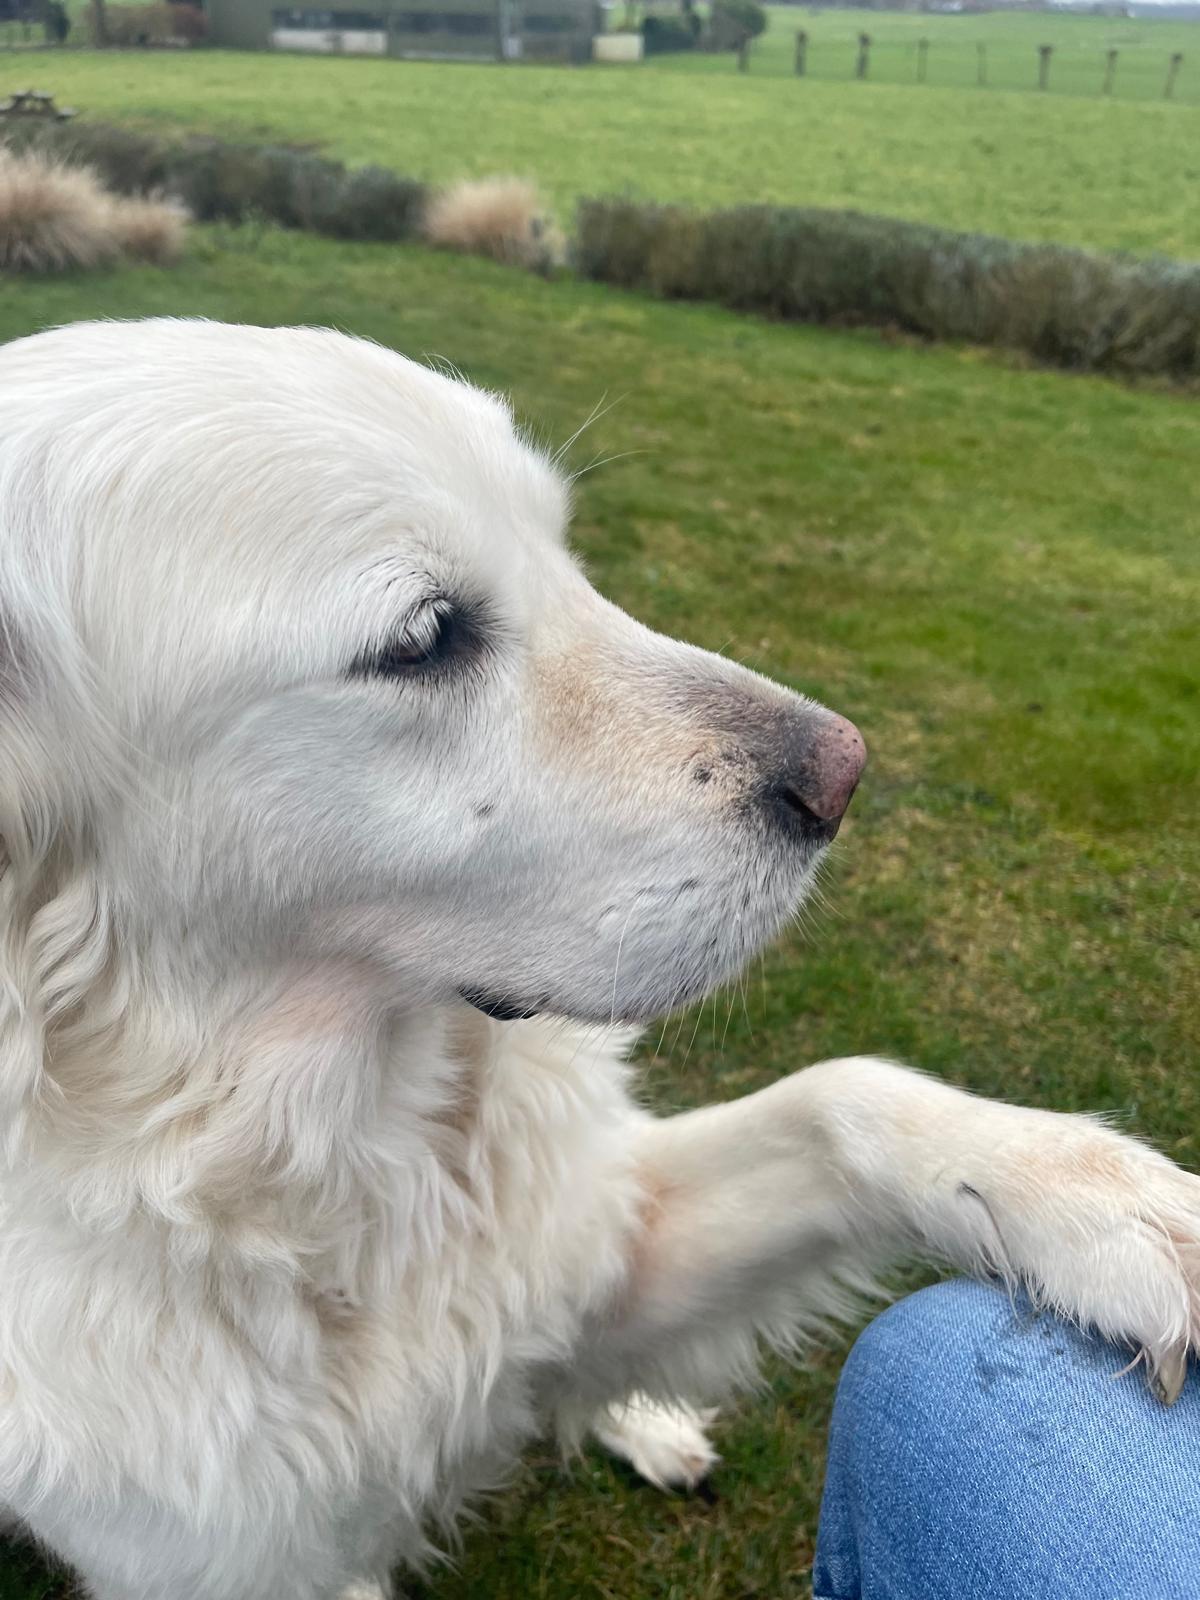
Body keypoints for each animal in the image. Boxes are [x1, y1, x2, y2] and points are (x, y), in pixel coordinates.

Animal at [0, 319, 1195, 1600]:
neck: (335, 1158)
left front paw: (1101, 1201)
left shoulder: (610, 1232)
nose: (844, 773)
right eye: (423, 638)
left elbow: (838, 1093)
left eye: (561, 547)